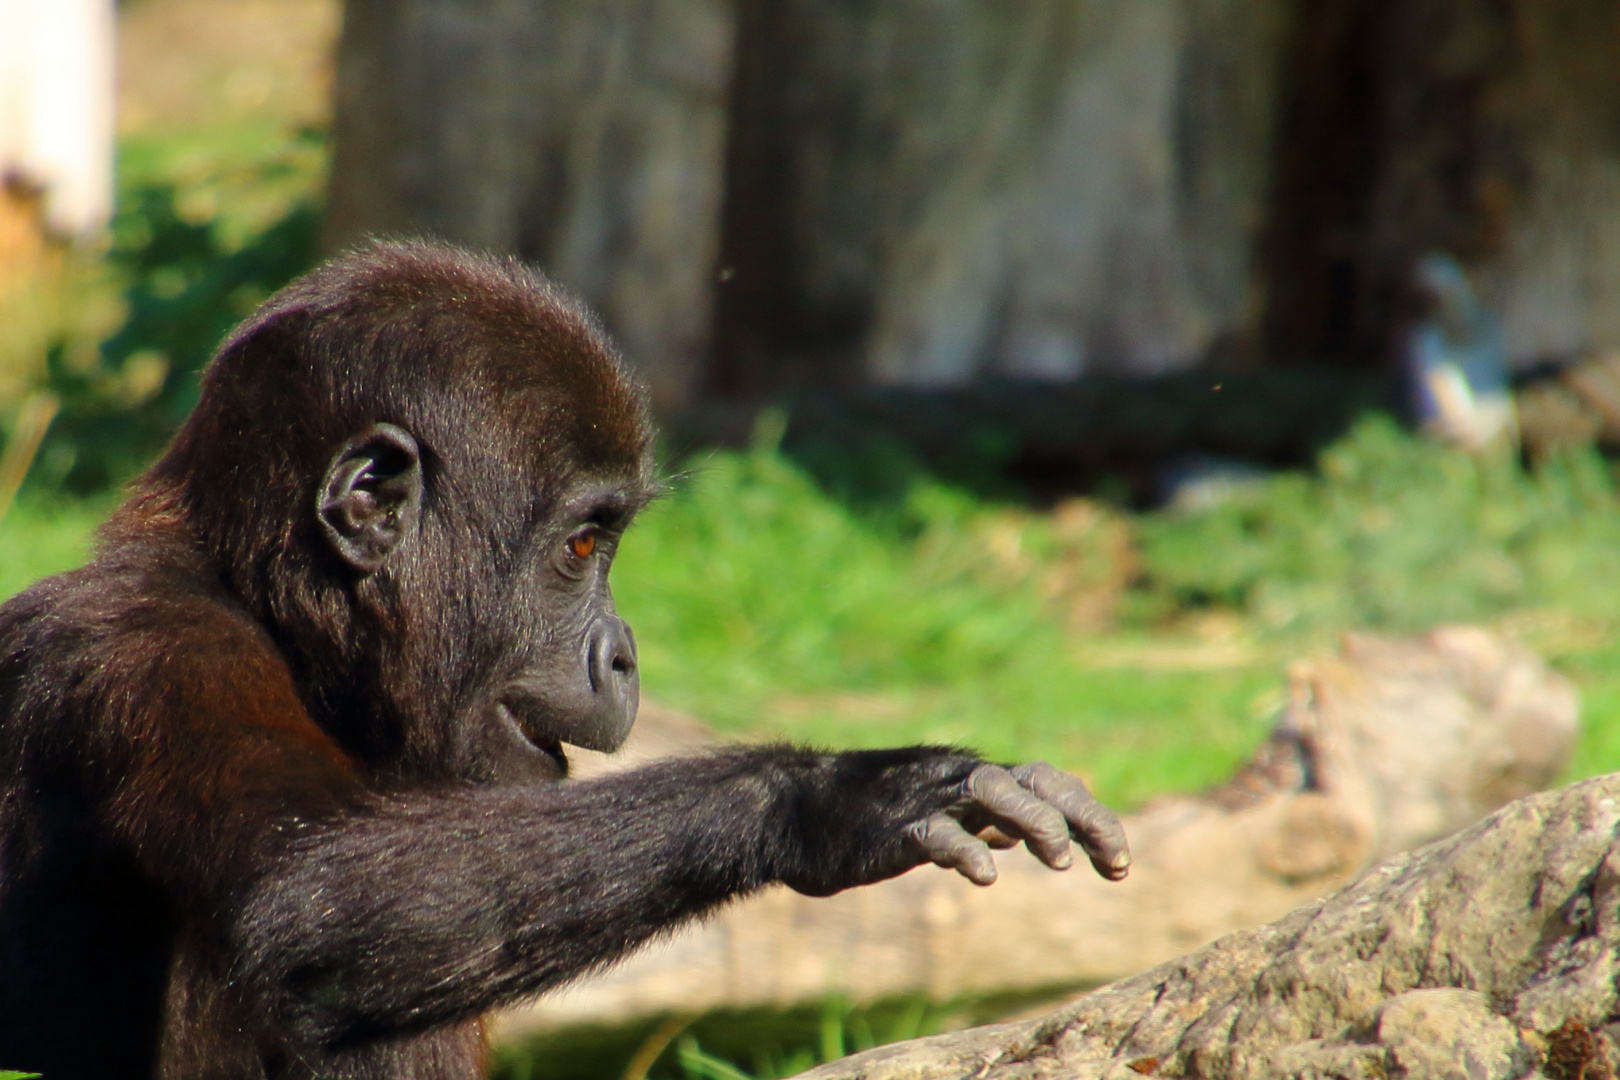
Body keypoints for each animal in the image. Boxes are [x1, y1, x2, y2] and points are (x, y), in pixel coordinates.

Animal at [0, 241, 1127, 1075]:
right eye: (583, 547)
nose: (624, 655)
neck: (269, 610)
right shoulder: (146, 648)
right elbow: (306, 901)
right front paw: (831, 798)